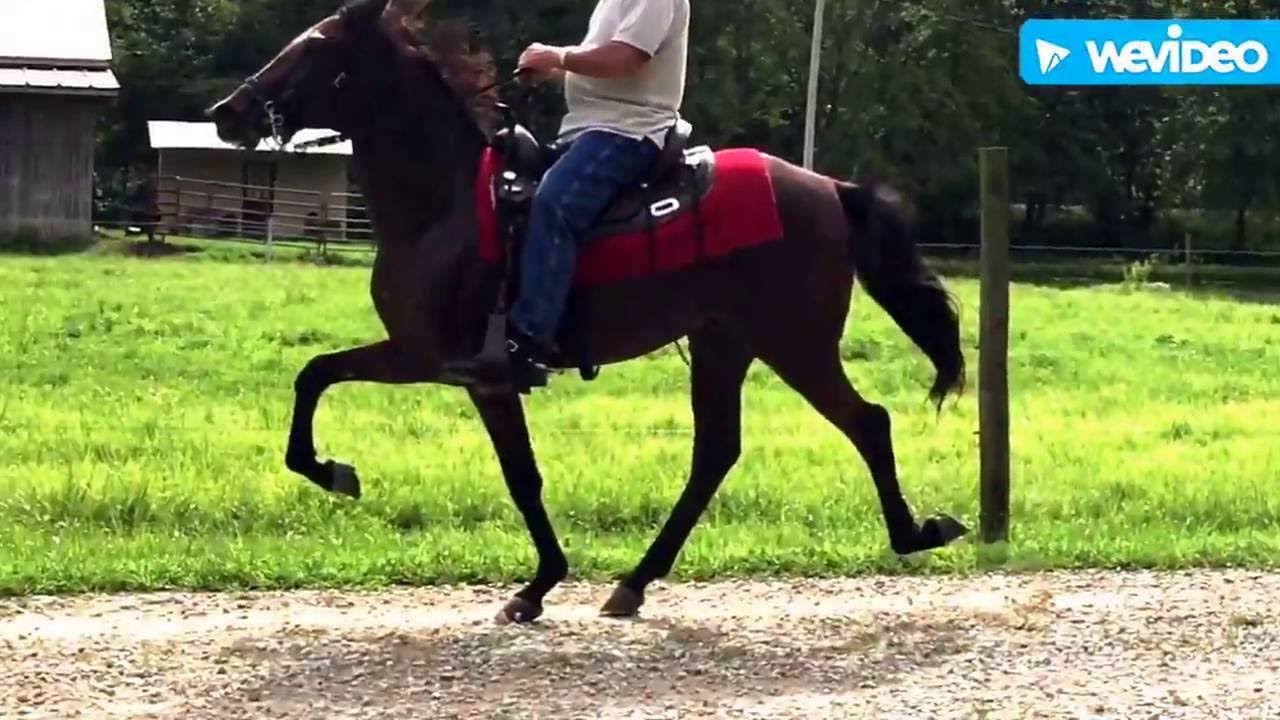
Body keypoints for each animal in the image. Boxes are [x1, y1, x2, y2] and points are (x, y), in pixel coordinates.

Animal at [207, 0, 970, 624]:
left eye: (313, 46)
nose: (227, 111)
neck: (444, 205)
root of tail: (830, 188)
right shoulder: (425, 357)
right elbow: (316, 374)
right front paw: (335, 471)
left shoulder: (454, 364)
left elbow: (518, 475)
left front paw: (536, 584)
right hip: (724, 343)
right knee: (717, 452)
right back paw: (634, 582)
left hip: (796, 342)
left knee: (866, 423)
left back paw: (915, 533)